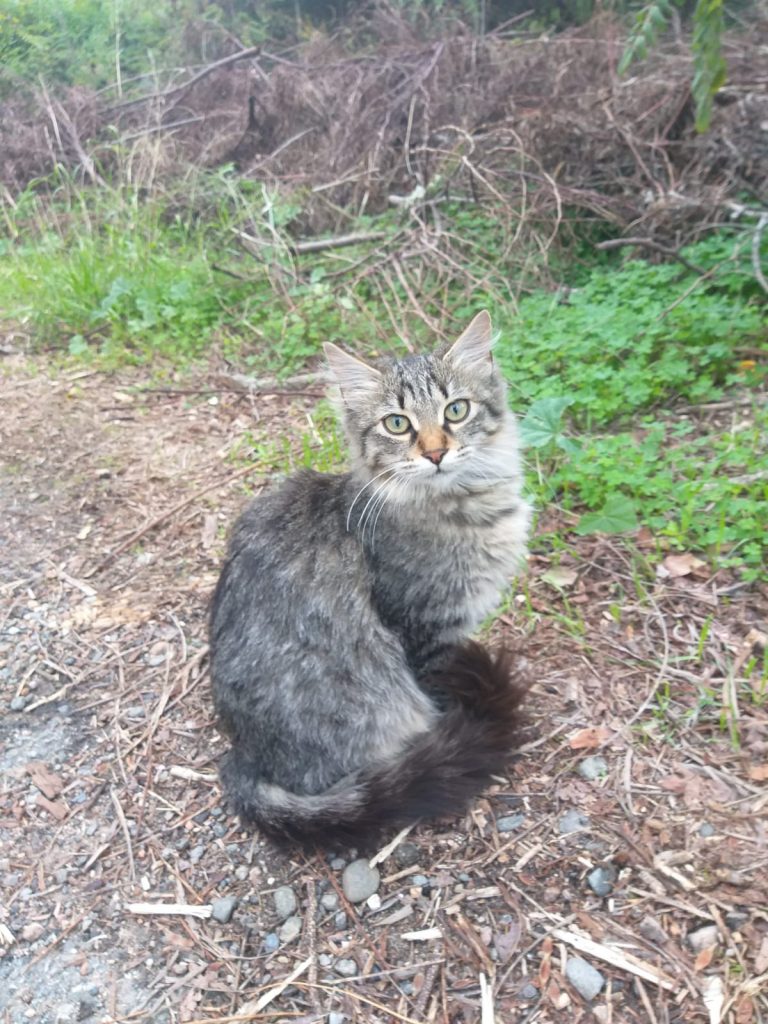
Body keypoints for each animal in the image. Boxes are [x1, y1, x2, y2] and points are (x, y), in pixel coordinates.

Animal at [207, 309, 532, 839]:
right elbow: (438, 689)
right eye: (397, 424)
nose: (436, 453)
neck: (463, 504)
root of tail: (246, 758)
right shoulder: (423, 630)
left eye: (456, 411)